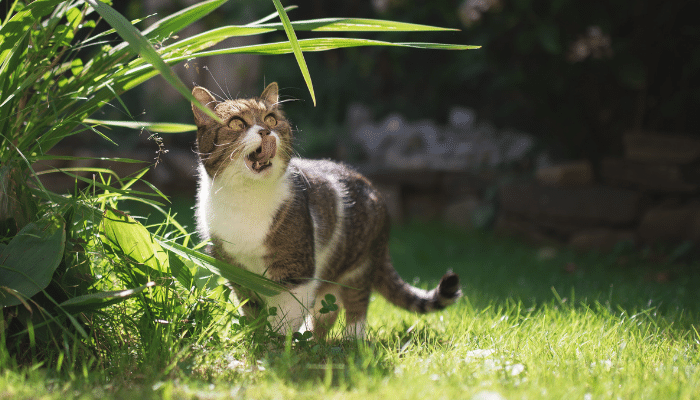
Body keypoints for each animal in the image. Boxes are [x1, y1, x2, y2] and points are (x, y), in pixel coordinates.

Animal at [190, 83, 460, 340]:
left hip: (358, 265)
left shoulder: (296, 271)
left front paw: (277, 345)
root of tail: (375, 189)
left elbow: (283, 317)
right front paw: (255, 338)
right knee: (326, 310)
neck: (245, 197)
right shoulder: (236, 273)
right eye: (237, 123)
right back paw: (312, 340)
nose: (265, 131)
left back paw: (351, 341)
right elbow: (253, 311)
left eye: (271, 119)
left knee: (355, 305)